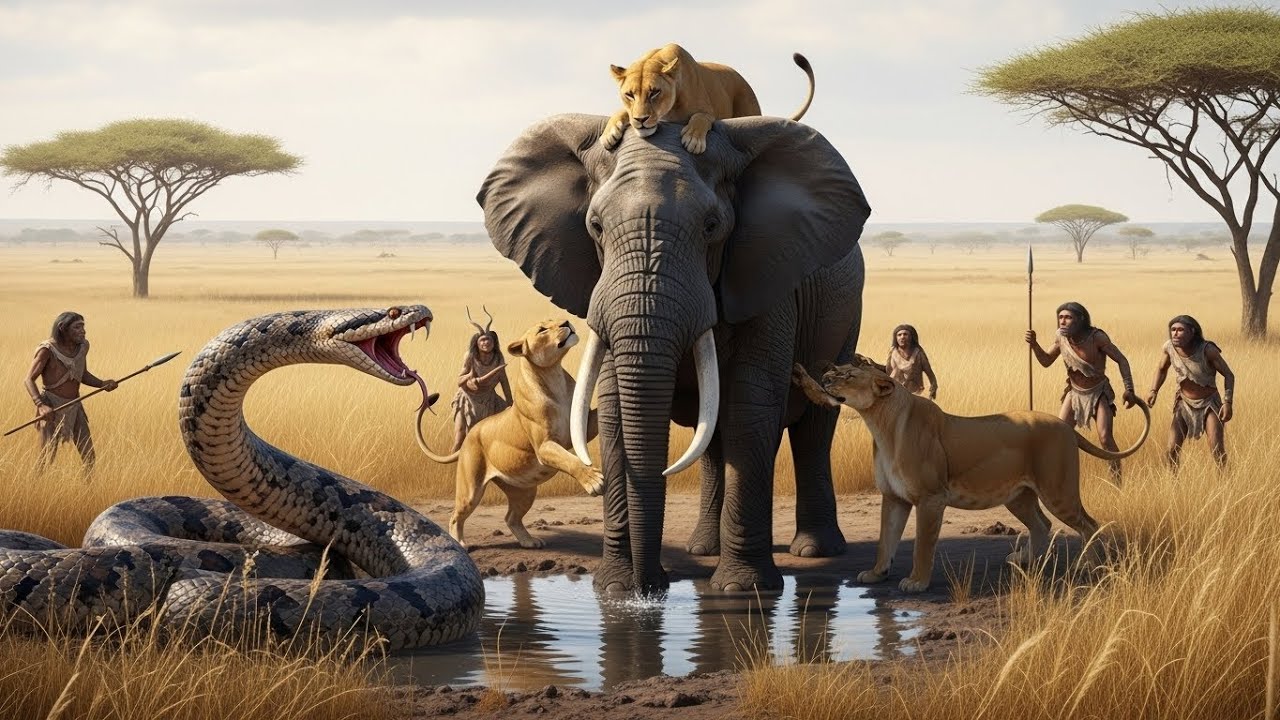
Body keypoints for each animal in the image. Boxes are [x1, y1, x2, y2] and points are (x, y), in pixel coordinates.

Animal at [417, 319, 602, 549]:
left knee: (511, 518)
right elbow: (569, 459)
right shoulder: (544, 446)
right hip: (471, 490)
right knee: (456, 515)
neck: (554, 376)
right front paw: (593, 481)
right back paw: (460, 543)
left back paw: (529, 541)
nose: (566, 322)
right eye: (542, 329)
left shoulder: (582, 426)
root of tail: (470, 435)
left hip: (525, 491)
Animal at [477, 113, 870, 593]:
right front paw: (615, 588)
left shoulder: (767, 276)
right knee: (715, 437)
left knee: (812, 428)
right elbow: (615, 409)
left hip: (846, 316)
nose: (651, 589)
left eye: (712, 226)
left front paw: (741, 589)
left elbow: (750, 406)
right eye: (595, 227)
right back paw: (704, 548)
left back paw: (813, 550)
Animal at [599, 43, 816, 154]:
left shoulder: (707, 111)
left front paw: (693, 140)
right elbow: (620, 112)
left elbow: (700, 117)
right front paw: (609, 134)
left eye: (654, 92)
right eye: (629, 94)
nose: (641, 120)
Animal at [791, 356, 1151, 593]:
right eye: (837, 370)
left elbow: (922, 544)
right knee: (1042, 524)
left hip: (1057, 490)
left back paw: (1087, 565)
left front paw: (917, 582)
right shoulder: (893, 498)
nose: (825, 379)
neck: (881, 424)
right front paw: (877, 573)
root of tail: (1066, 426)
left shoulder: (930, 499)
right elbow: (885, 540)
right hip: (1018, 496)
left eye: (849, 375)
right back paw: (1025, 561)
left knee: (1088, 524)